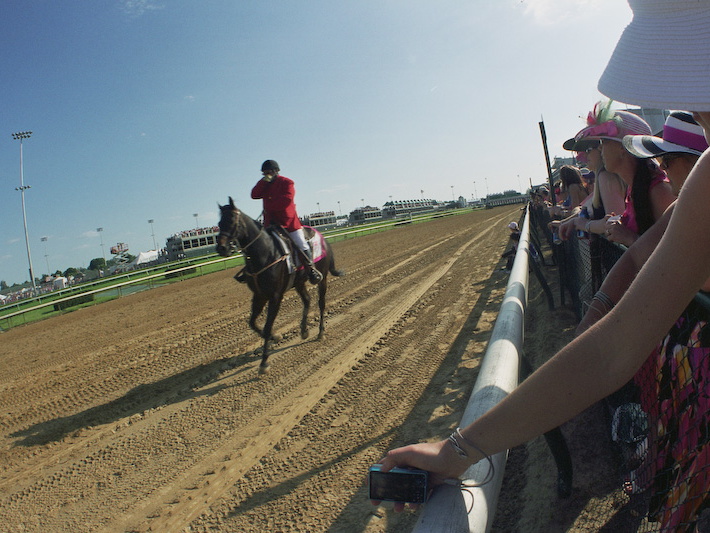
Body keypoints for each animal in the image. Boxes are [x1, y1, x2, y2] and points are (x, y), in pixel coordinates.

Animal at [214, 196, 344, 374]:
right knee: (307, 300)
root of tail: (322, 237)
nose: (221, 248)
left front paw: (264, 362)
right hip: (299, 282)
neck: (265, 253)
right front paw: (275, 337)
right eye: (219, 223)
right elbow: (252, 323)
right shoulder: (259, 295)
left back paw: (320, 332)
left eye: (232, 220)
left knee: (321, 303)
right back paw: (304, 330)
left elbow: (268, 326)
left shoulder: (275, 296)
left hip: (321, 279)